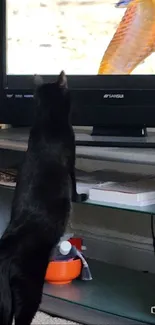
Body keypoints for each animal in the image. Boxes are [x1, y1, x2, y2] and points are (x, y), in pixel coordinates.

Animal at [0, 71, 88, 324]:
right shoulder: (71, 161)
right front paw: (81, 196)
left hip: (4, 299)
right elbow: (74, 185)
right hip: (28, 289)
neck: (47, 122)